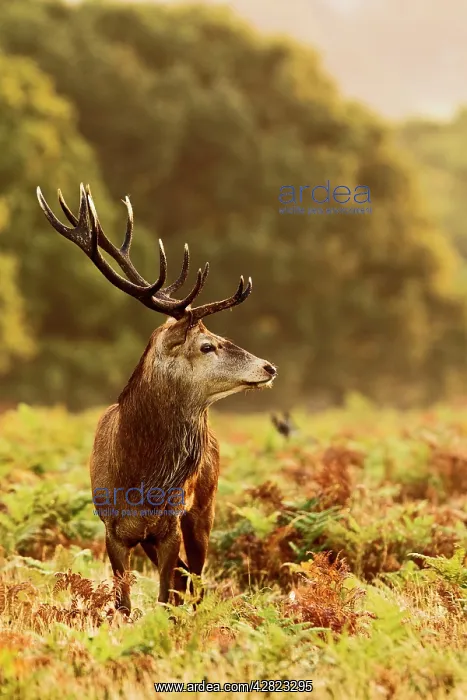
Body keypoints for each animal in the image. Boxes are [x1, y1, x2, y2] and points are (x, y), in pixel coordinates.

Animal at [36, 183, 277, 614]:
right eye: (207, 345)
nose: (268, 367)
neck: (140, 478)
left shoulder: (169, 527)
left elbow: (167, 596)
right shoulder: (112, 529)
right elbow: (124, 604)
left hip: (204, 507)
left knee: (194, 579)